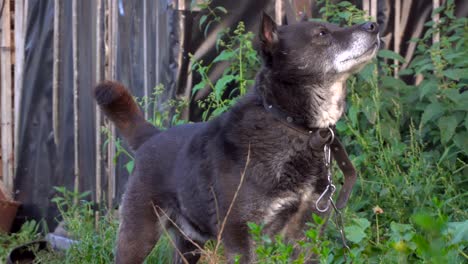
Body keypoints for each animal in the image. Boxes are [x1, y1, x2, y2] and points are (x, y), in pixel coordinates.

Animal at [94, 12, 376, 264]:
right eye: (322, 33)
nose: (373, 25)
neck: (288, 121)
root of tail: (151, 137)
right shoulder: (240, 236)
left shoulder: (305, 234)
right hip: (138, 236)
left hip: (190, 242)